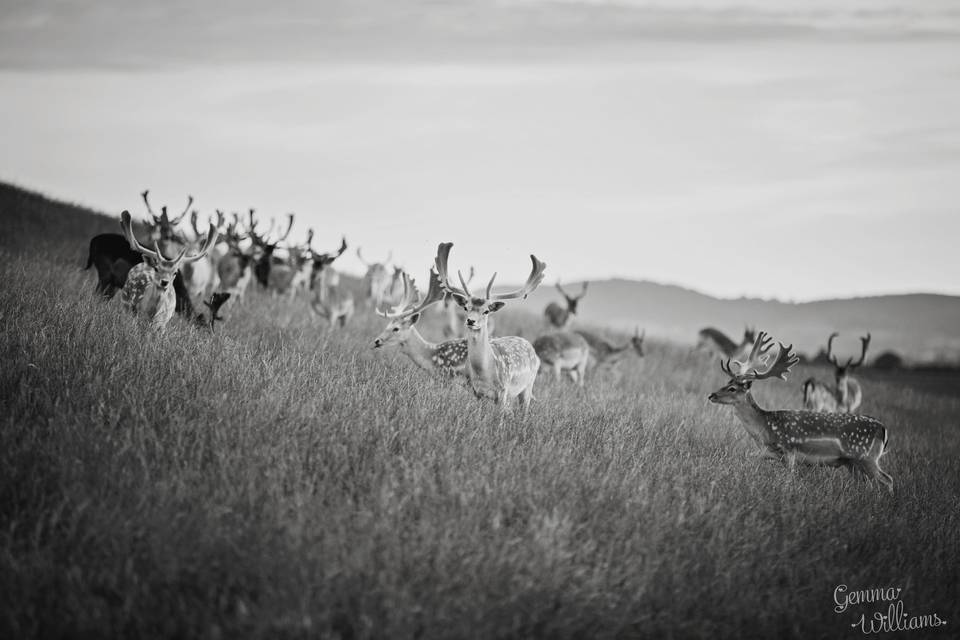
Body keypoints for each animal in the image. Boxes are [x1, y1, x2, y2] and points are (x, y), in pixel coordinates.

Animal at [436, 240, 548, 410]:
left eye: (486, 311)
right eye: (466, 307)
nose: (471, 321)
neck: (484, 373)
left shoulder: (503, 390)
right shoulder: (476, 392)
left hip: (528, 385)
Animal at [704, 332, 892, 492]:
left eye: (732, 388)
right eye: (726, 383)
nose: (712, 395)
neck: (765, 429)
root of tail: (883, 429)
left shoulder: (789, 450)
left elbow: (789, 478)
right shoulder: (767, 453)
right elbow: (747, 458)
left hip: (866, 457)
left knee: (887, 479)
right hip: (852, 462)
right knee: (867, 483)